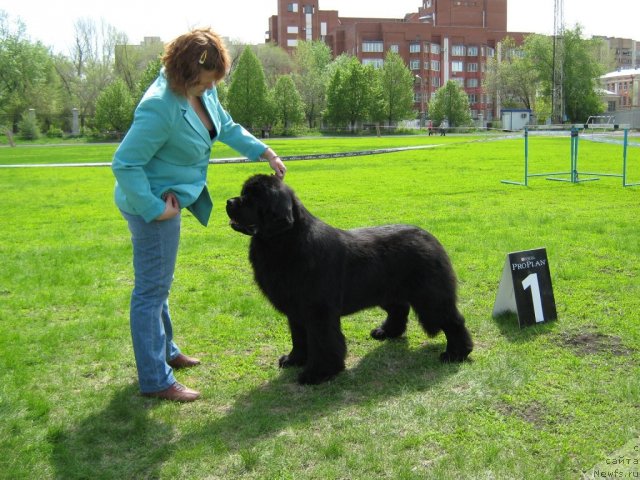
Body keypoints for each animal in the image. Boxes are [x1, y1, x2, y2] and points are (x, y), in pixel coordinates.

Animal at [225, 174, 470, 384]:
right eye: (244, 193)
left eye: (253, 198)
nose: (229, 201)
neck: (285, 242)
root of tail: (430, 237)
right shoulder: (296, 311)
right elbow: (299, 337)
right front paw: (294, 359)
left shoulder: (318, 312)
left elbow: (323, 342)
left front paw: (318, 373)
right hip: (386, 291)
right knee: (399, 309)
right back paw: (386, 332)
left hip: (430, 296)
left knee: (452, 320)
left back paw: (456, 353)